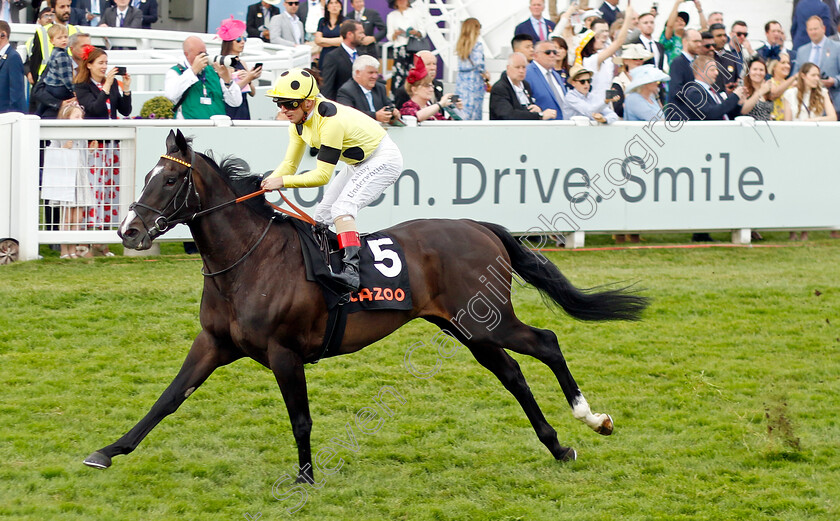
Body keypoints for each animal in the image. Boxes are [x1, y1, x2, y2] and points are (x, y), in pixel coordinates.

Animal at [83, 131, 648, 480]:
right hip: (467, 328)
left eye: (169, 180)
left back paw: (592, 418)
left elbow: (301, 419)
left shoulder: (284, 353)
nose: (128, 230)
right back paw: (558, 445)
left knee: (546, 343)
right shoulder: (214, 343)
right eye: (146, 177)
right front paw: (107, 451)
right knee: (512, 373)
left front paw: (305, 478)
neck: (248, 261)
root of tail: (478, 226)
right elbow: (167, 399)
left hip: (487, 322)